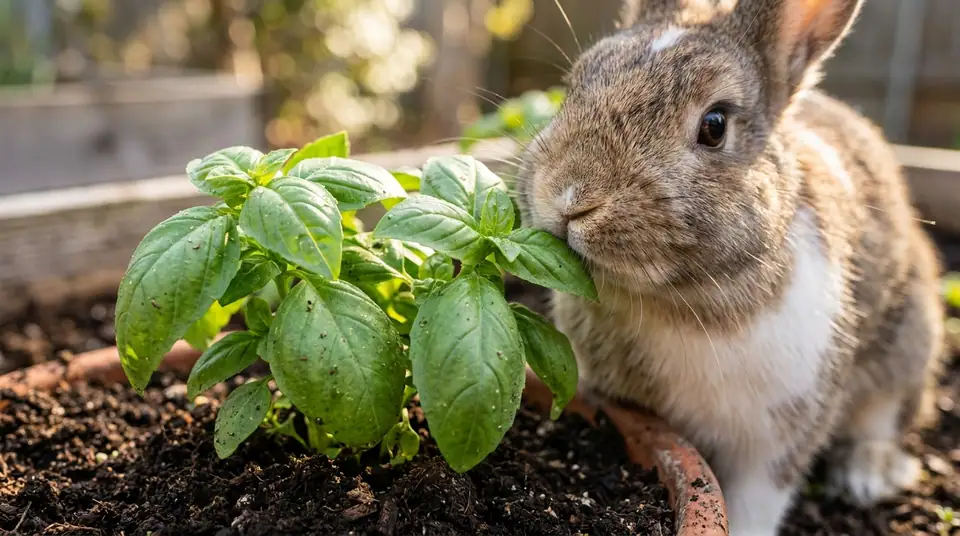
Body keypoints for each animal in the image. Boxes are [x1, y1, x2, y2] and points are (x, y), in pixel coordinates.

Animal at [511, 0, 945, 534]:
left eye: (714, 125)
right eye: (574, 85)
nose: (569, 196)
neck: (671, 300)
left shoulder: (775, 439)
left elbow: (757, 502)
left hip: (907, 348)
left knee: (881, 421)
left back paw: (866, 477)